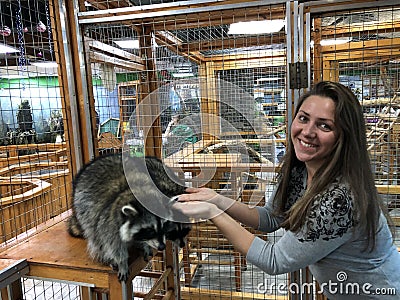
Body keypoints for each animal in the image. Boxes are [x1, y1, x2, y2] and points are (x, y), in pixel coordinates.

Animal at [68, 154, 191, 282]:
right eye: (150, 231)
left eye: (165, 227)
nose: (162, 247)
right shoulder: (109, 218)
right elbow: (112, 242)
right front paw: (121, 261)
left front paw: (144, 245)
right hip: (83, 207)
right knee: (95, 235)